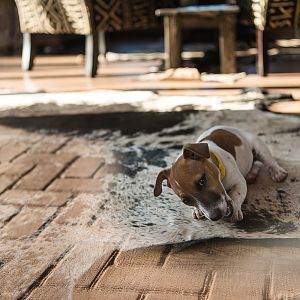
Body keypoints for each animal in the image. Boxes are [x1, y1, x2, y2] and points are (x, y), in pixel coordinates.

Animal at [154, 125, 288, 223]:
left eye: (202, 180)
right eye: (186, 201)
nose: (215, 216)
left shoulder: (239, 182)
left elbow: (236, 194)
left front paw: (236, 209)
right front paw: (197, 210)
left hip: (259, 146)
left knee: (268, 161)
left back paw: (277, 172)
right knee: (256, 164)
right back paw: (252, 174)